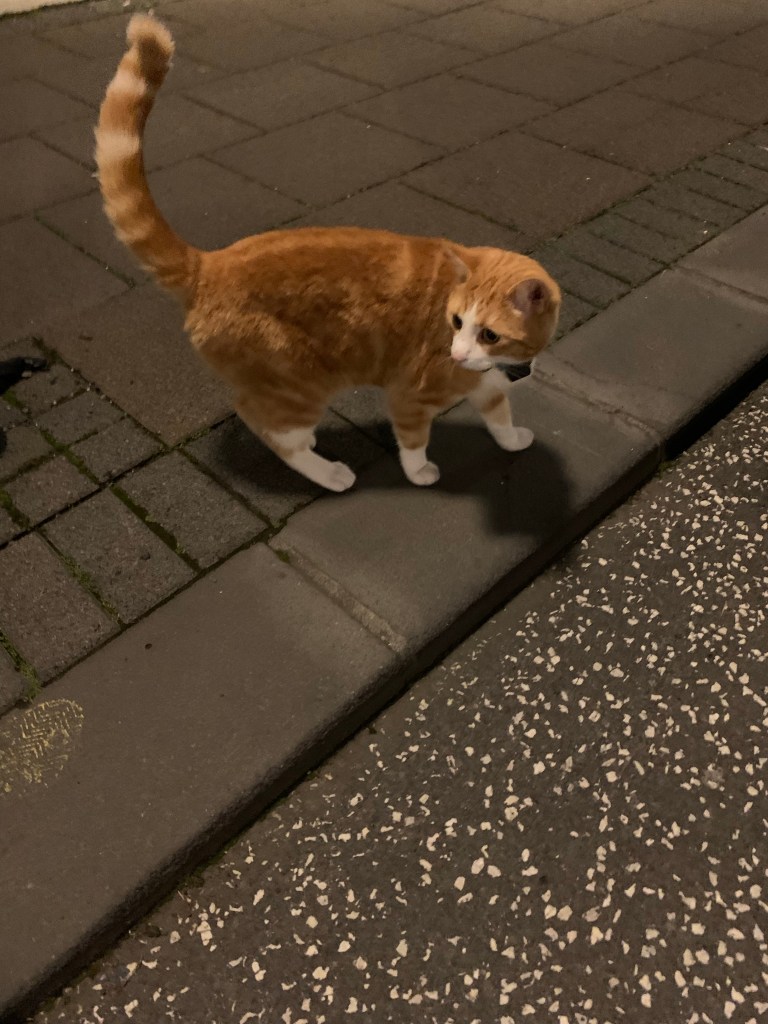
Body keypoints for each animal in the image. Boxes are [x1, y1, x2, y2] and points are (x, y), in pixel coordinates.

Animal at [95, 15, 561, 493]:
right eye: (456, 322)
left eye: (488, 334)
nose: (459, 354)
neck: (500, 365)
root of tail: (208, 264)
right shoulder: (410, 395)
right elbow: (413, 442)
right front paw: (420, 473)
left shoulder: (490, 389)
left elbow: (500, 418)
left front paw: (512, 440)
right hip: (299, 384)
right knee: (269, 428)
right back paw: (328, 472)